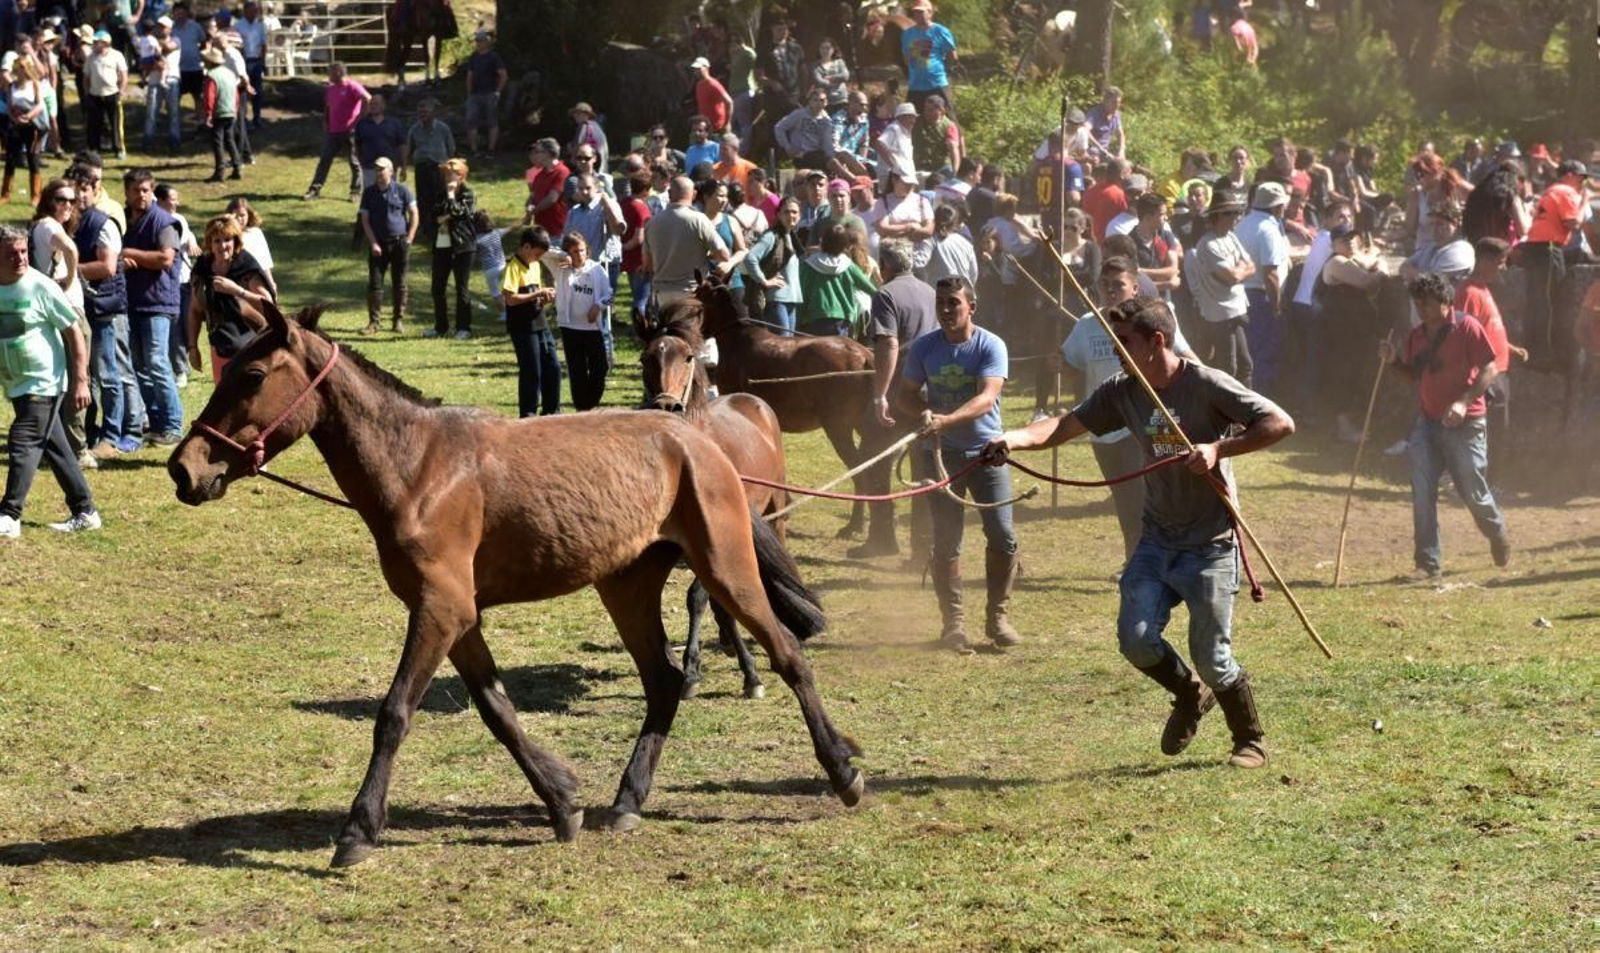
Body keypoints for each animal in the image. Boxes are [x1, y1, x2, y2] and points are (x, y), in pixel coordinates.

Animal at [637, 301, 788, 702]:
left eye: (688, 357)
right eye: (645, 358)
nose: (667, 405)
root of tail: (752, 401)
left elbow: (698, 598)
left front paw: (706, 672)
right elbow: (713, 602)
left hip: (775, 506)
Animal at [693, 271, 899, 555]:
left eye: (698, 300)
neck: (737, 340)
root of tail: (865, 355)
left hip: (838, 427)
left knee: (859, 470)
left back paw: (854, 525)